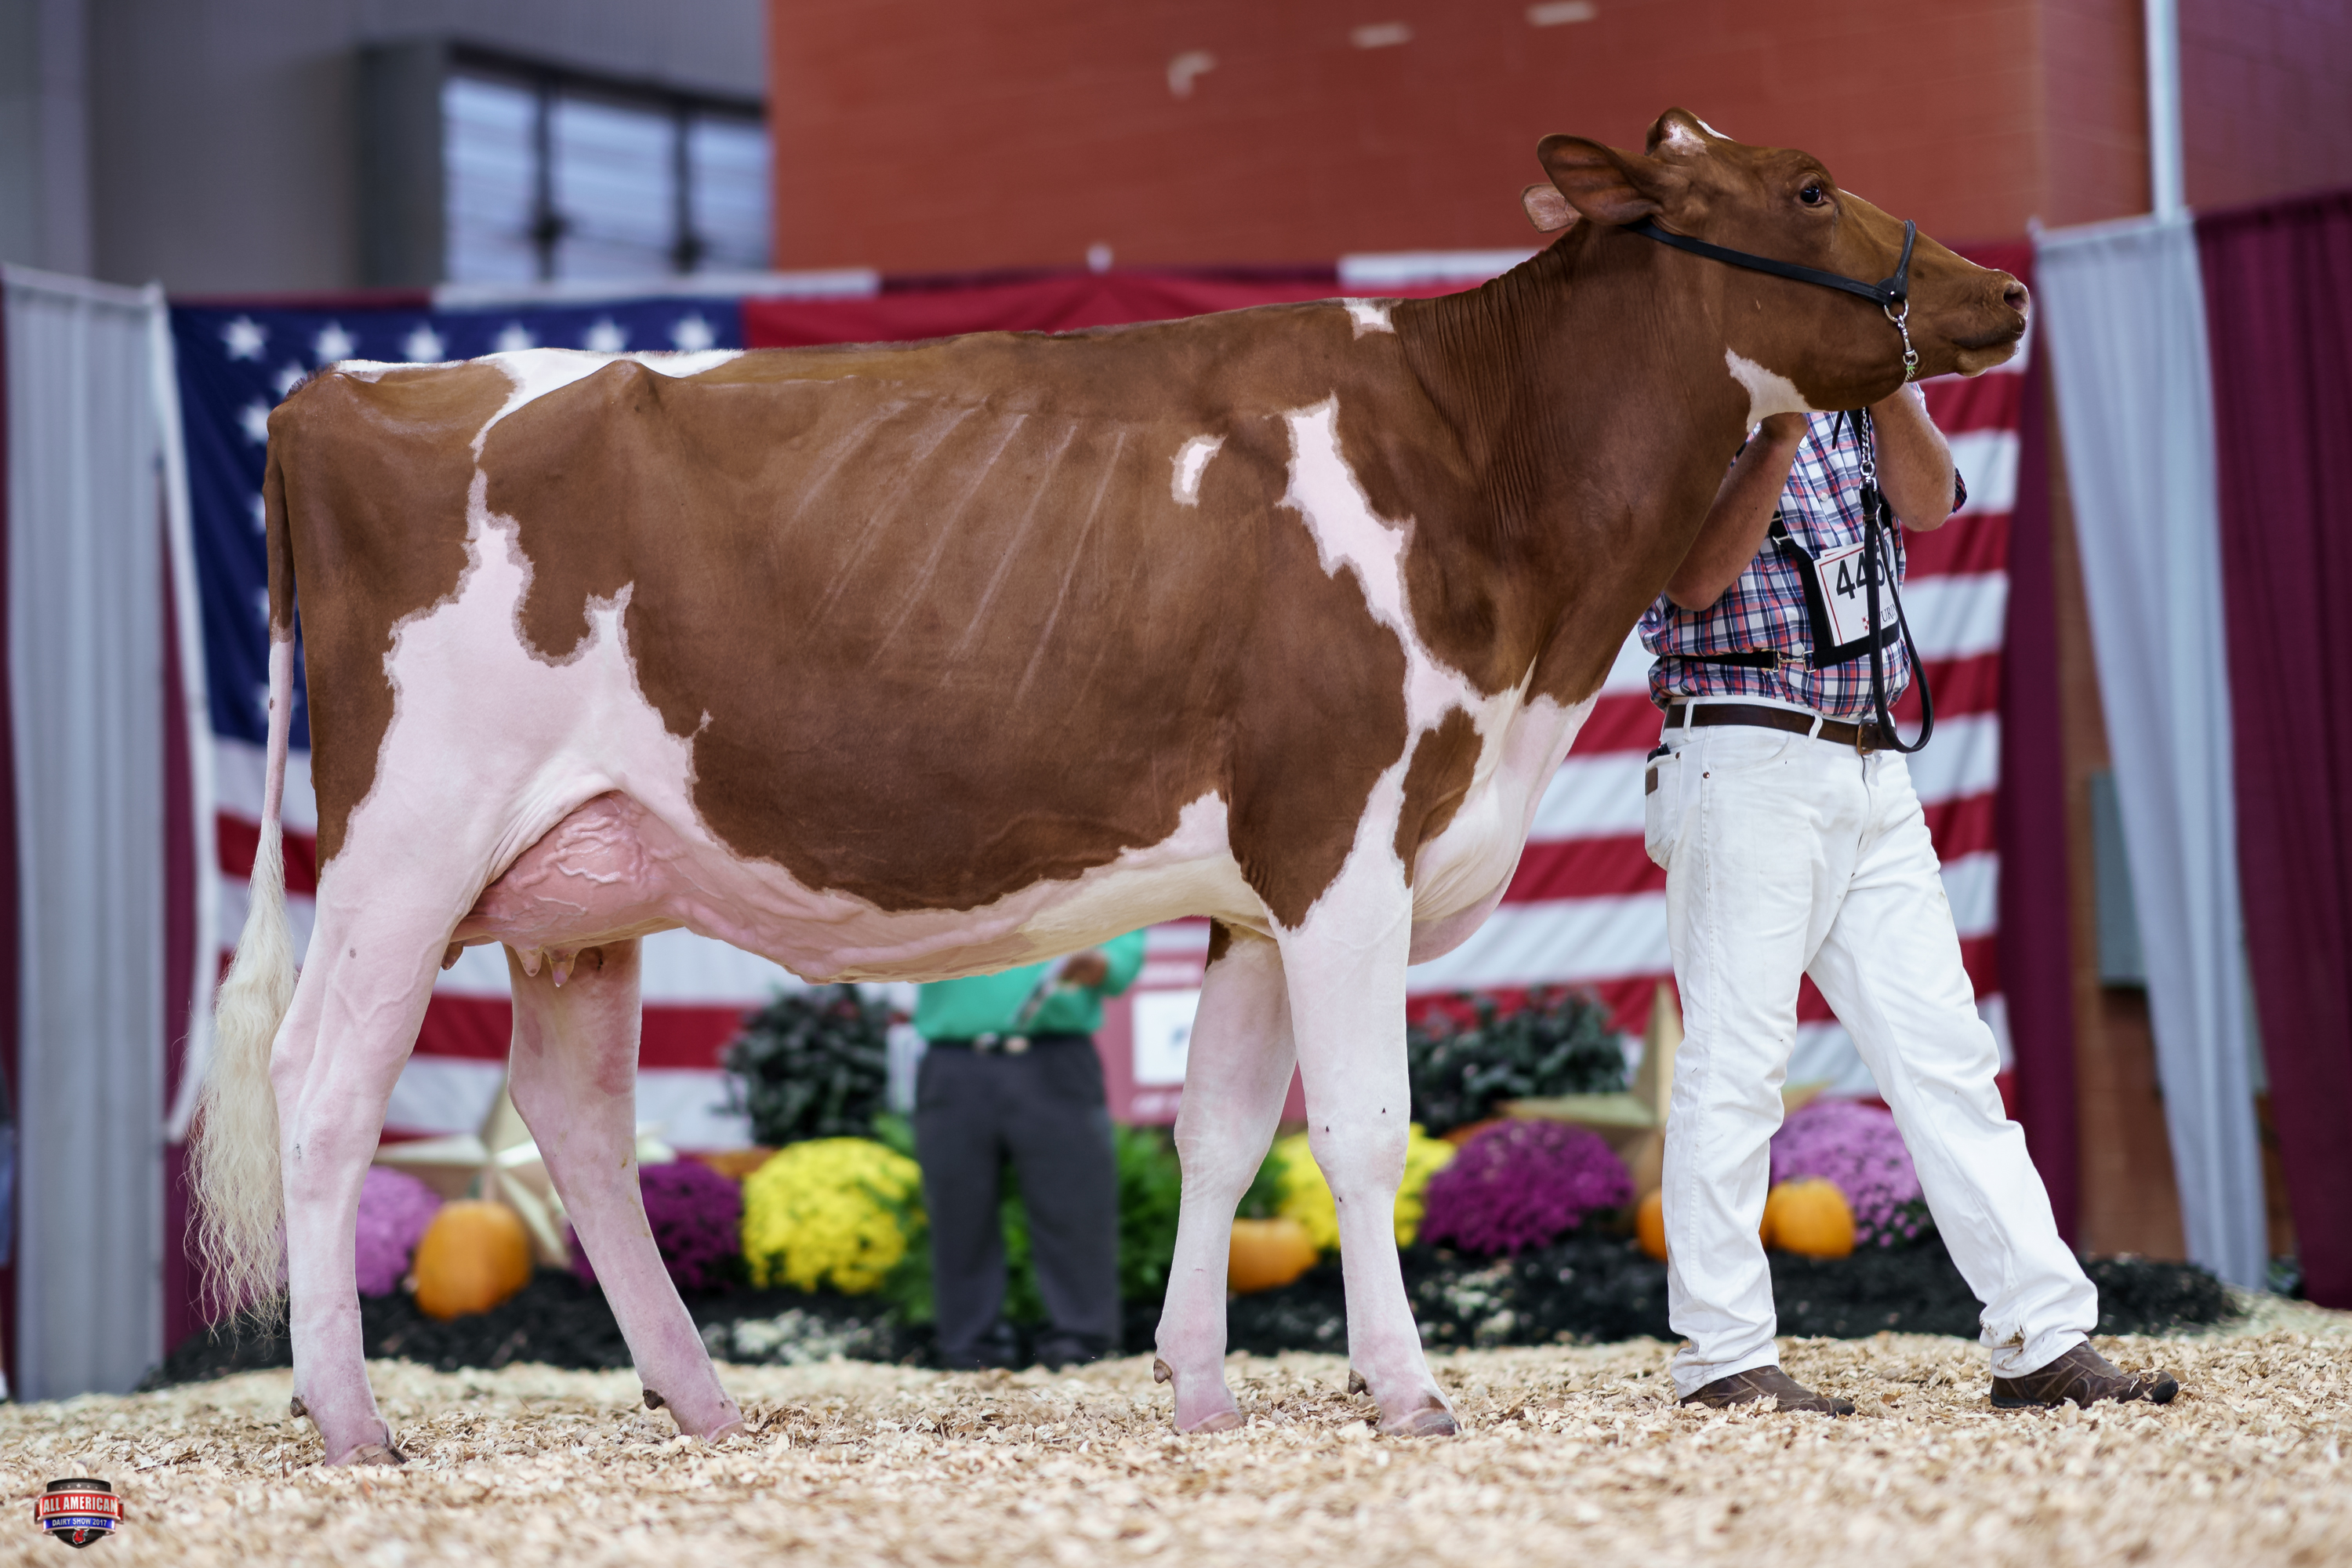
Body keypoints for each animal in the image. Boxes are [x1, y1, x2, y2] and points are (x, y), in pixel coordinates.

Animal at [192, 109, 2027, 1465]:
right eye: (1807, 186)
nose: (2001, 294)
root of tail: (341, 393)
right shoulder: (1342, 838)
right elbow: (1364, 1127)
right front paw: (1407, 1388)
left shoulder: (1260, 887)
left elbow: (1218, 1130)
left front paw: (1203, 1389)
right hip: (407, 843)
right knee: (325, 1085)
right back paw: (348, 1419)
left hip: (585, 879)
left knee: (573, 1116)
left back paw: (701, 1400)